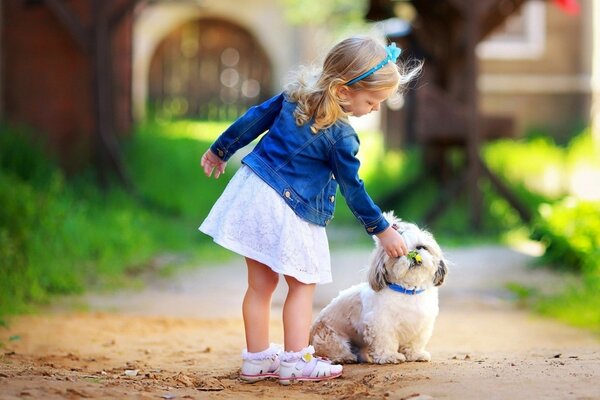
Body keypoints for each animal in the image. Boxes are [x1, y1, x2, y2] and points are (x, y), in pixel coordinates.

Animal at [312, 214, 448, 364]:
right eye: (397, 254)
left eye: (421, 247)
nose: (412, 254)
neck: (408, 291)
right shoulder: (381, 323)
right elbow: (385, 341)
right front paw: (389, 356)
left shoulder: (421, 325)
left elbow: (414, 343)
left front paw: (415, 354)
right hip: (330, 337)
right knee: (333, 350)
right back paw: (345, 357)